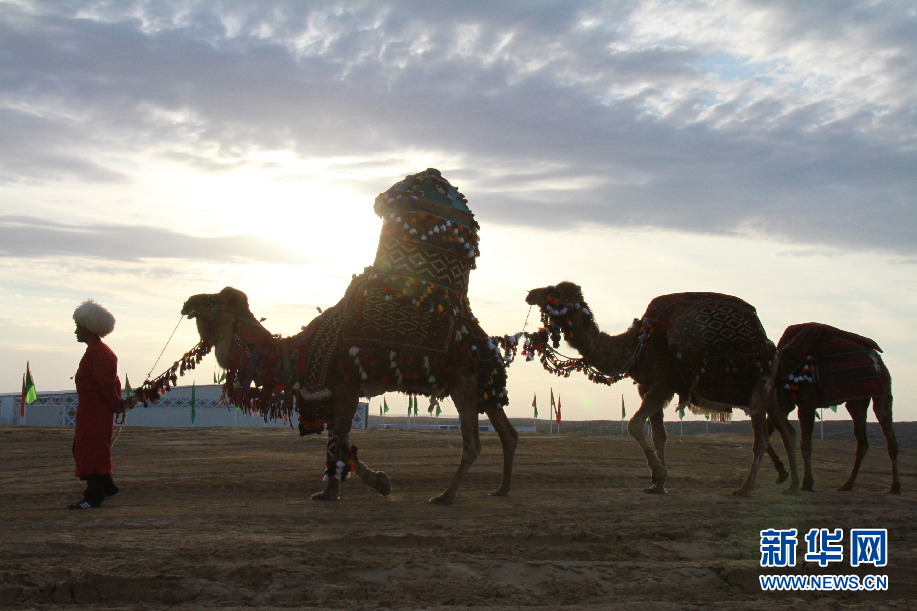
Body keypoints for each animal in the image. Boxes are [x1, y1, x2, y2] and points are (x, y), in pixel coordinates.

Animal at [525, 282, 799, 495]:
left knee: (762, 438)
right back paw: (794, 485)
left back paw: (746, 487)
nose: (530, 293)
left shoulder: (662, 385)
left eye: (554, 292)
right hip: (769, 392)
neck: (637, 345)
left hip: (758, 387)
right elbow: (659, 434)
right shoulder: (646, 387)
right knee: (787, 430)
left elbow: (634, 425)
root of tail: (769, 345)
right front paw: (658, 484)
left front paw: (660, 473)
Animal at [765, 322, 900, 493]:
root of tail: (878, 359)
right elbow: (766, 437)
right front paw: (782, 474)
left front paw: (807, 482)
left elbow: (805, 444)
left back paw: (895, 487)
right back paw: (847, 484)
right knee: (862, 441)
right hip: (857, 401)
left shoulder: (806, 403)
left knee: (889, 437)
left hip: (881, 393)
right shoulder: (785, 404)